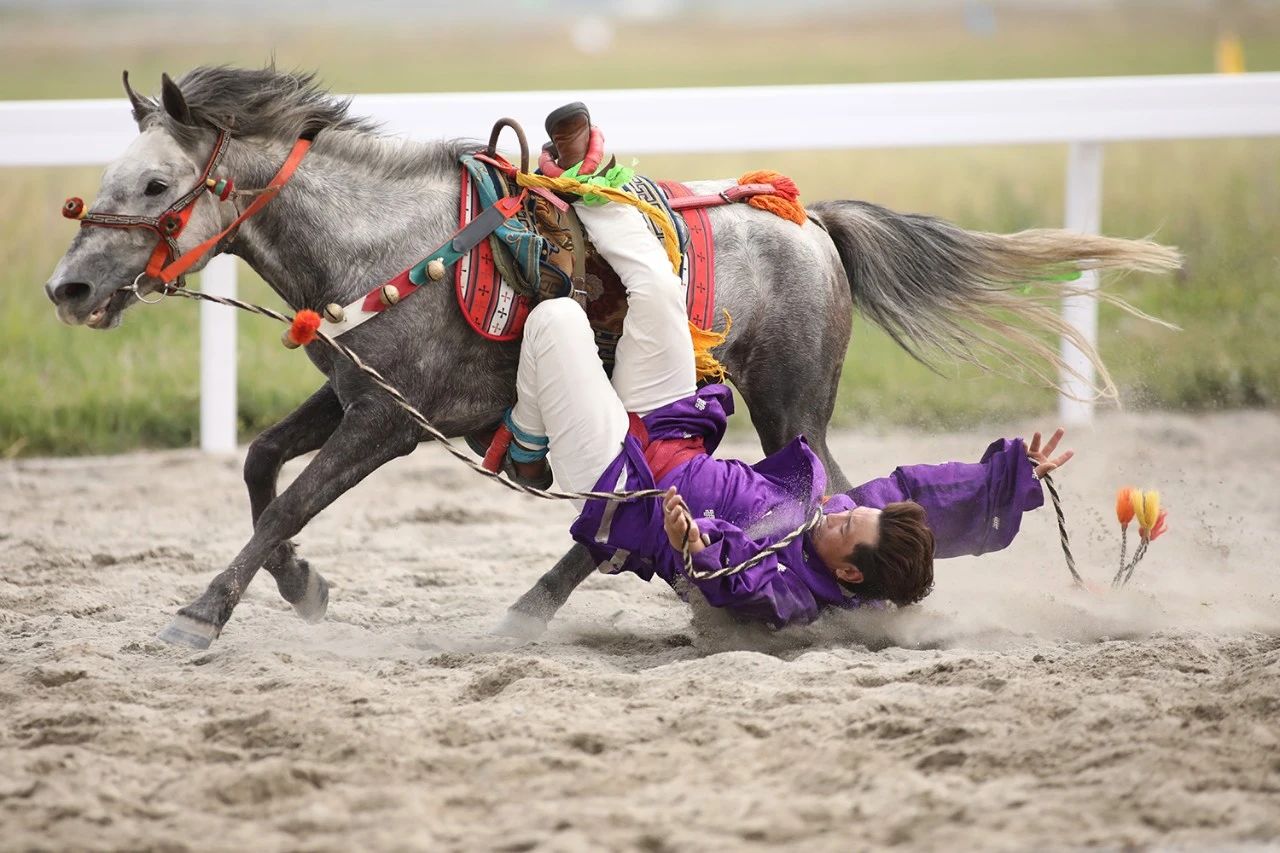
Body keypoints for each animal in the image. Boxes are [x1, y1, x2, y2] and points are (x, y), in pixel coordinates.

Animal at [42, 68, 1177, 650]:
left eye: (154, 185)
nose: (68, 290)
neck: (389, 242)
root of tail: (811, 221)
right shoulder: (356, 398)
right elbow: (259, 469)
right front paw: (301, 588)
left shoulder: (386, 423)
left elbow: (286, 500)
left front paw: (200, 613)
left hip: (789, 401)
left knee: (802, 497)